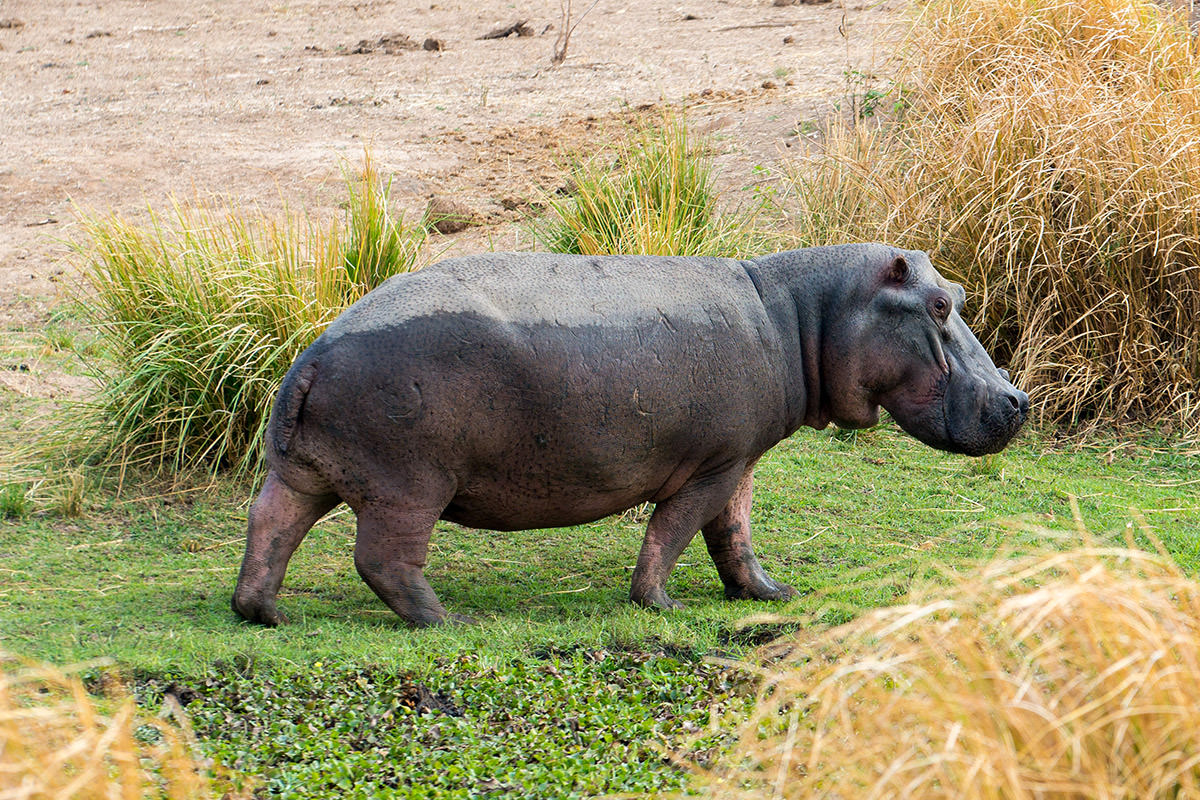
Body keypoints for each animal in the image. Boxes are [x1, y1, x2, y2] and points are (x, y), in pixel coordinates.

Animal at [234, 241, 1032, 628]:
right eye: (937, 306)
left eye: (959, 295)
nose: (1018, 400)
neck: (801, 312)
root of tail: (312, 354)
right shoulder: (712, 462)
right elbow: (678, 529)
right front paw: (660, 606)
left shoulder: (742, 460)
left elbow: (735, 535)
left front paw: (771, 594)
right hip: (410, 485)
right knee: (384, 559)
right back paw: (449, 620)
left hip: (305, 472)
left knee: (270, 525)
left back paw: (267, 614)